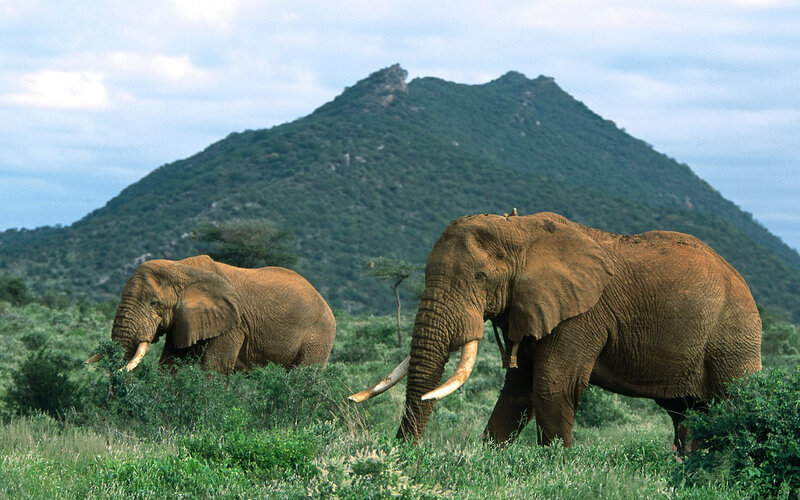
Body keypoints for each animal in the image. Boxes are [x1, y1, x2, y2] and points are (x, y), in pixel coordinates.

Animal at [86, 255, 336, 372]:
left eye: (154, 303)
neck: (181, 268)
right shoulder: (184, 319)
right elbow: (170, 365)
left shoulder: (233, 324)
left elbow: (214, 367)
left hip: (319, 335)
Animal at [350, 211, 762, 451]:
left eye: (481, 278)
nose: (405, 452)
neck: (521, 230)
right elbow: (518, 388)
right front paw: (489, 459)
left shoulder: (582, 313)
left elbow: (552, 383)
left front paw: (556, 466)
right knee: (688, 413)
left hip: (733, 337)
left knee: (734, 403)